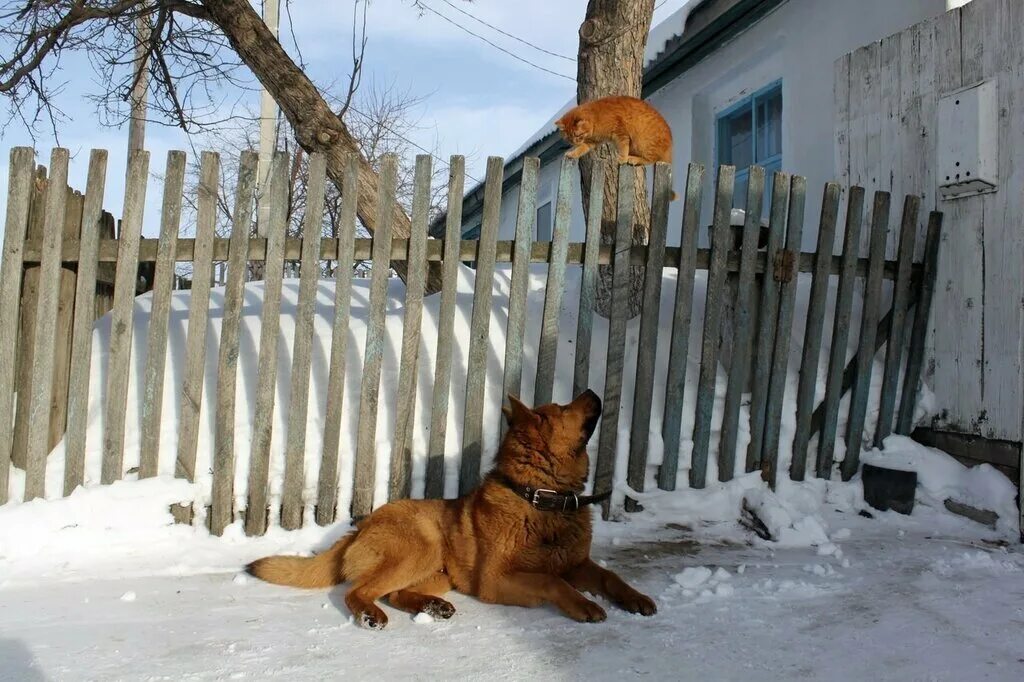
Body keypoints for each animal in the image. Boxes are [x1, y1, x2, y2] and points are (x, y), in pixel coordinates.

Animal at [251, 387, 659, 626]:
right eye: (562, 408)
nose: (590, 390)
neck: (544, 500)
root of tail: (359, 528)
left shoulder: (577, 564)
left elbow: (610, 576)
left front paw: (635, 598)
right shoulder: (495, 580)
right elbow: (550, 580)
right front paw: (582, 604)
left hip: (440, 570)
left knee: (393, 592)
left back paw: (431, 606)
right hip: (425, 545)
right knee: (359, 591)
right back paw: (371, 614)